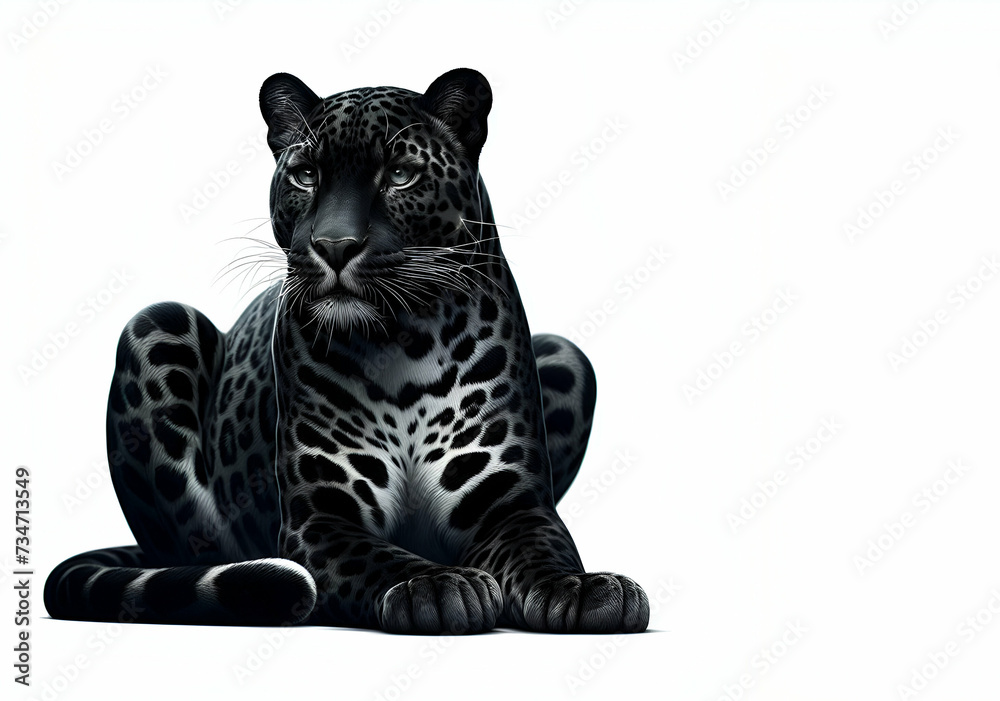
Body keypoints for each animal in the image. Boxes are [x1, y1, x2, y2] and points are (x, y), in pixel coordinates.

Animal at [43, 68, 650, 634]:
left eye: (400, 174)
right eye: (306, 174)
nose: (335, 246)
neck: (403, 342)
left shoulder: (512, 503)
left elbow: (543, 549)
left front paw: (584, 589)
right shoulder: (320, 517)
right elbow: (379, 558)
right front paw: (437, 586)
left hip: (566, 356)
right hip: (155, 323)